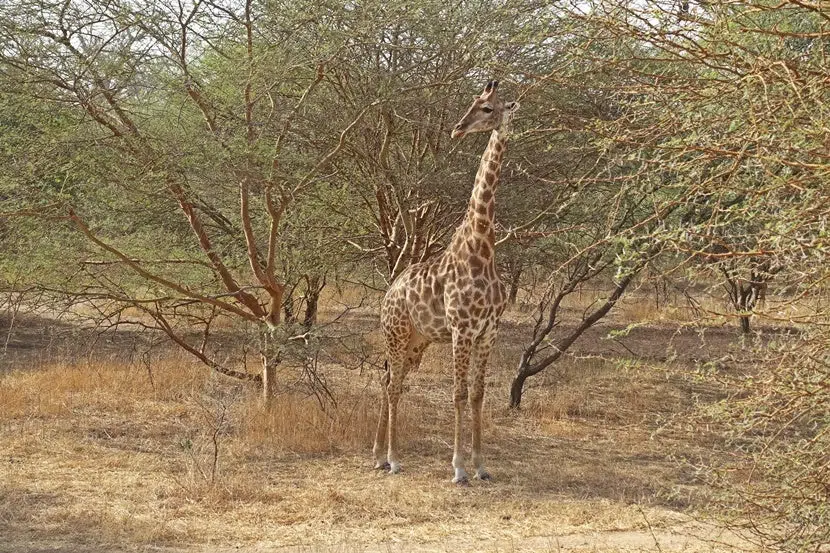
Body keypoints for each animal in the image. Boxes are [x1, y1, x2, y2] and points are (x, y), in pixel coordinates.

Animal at [376, 81, 520, 484]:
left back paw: (378, 454)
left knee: (390, 381)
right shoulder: (461, 330)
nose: (457, 129)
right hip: (396, 334)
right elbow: (457, 393)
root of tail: (388, 294)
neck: (482, 247)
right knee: (392, 386)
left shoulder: (488, 332)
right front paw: (457, 468)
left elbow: (477, 394)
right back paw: (392, 458)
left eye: (488, 108)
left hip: (416, 342)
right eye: (474, 103)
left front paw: (481, 465)